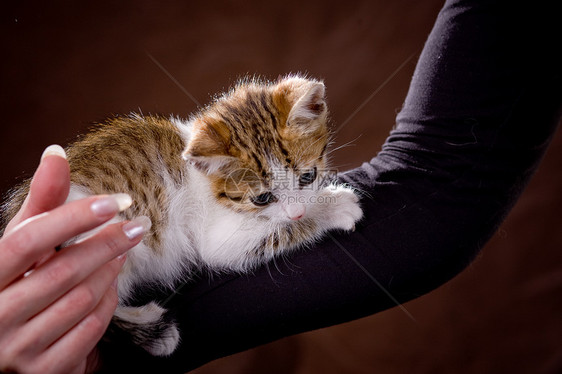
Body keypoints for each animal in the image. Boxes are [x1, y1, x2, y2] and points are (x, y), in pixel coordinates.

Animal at [2, 74, 360, 356]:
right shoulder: (220, 240)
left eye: (308, 176)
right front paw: (334, 207)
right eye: (262, 198)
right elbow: (276, 231)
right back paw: (154, 331)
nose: (297, 212)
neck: (205, 179)